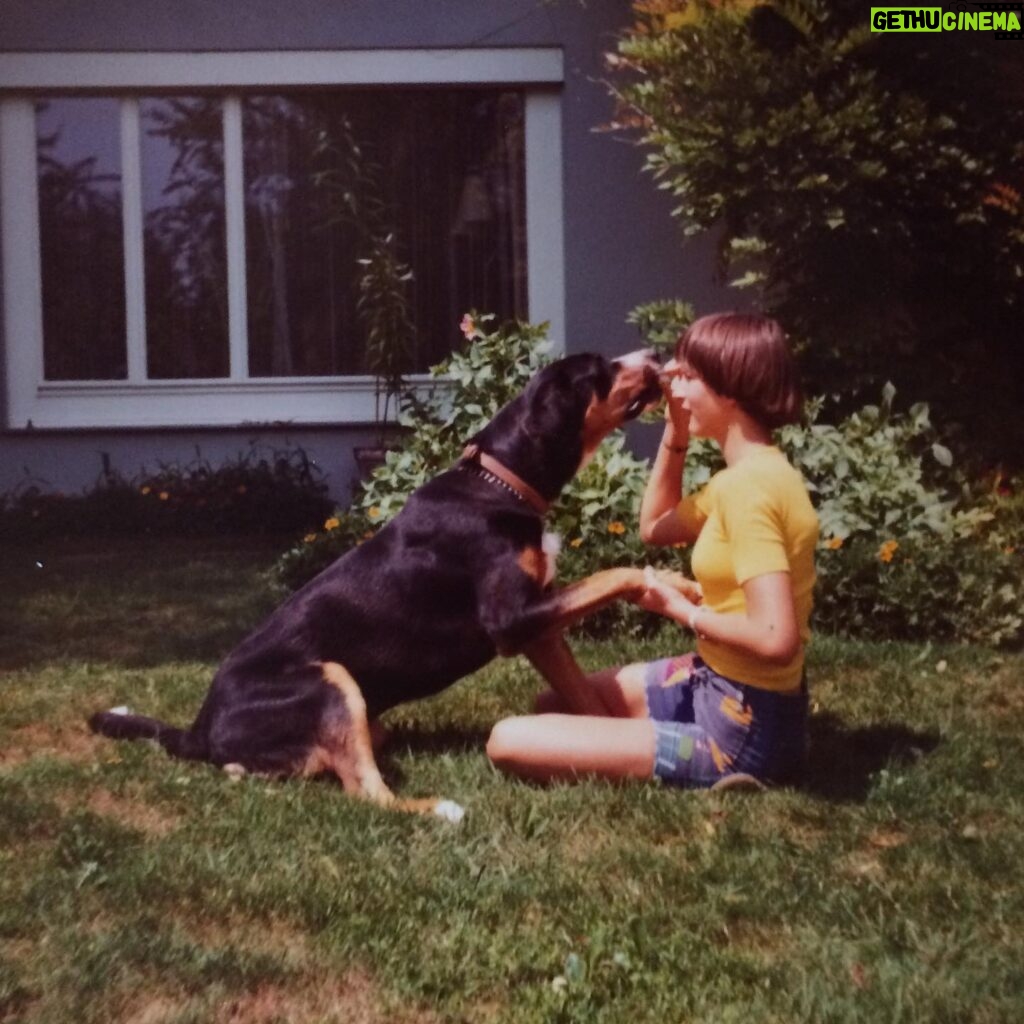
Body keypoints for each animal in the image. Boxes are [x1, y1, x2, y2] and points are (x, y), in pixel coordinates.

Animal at [88, 348, 663, 819]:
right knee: (367, 792)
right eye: (602, 369)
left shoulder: (538, 627)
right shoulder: (511, 619)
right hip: (330, 680)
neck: (501, 483)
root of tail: (201, 727)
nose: (656, 354)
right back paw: (438, 810)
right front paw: (665, 581)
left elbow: (583, 694)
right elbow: (617, 573)